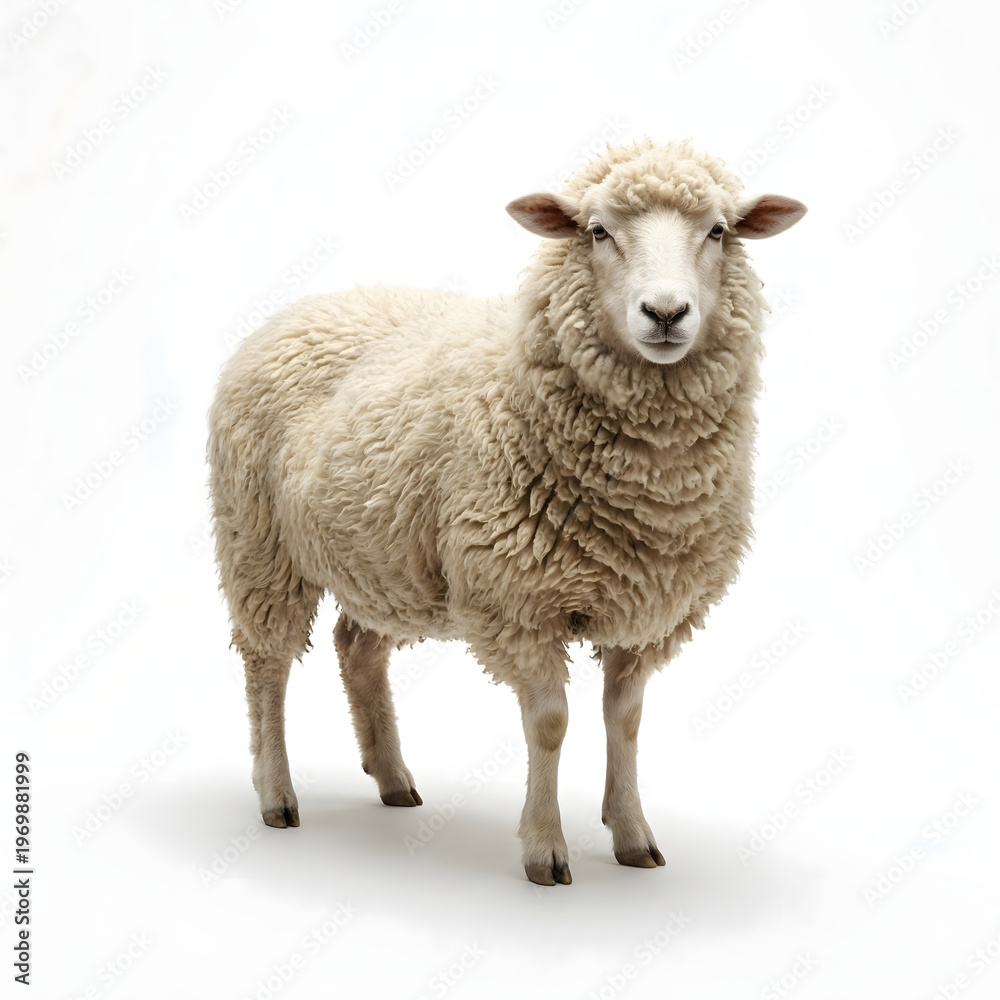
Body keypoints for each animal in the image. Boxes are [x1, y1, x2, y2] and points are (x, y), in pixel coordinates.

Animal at [207, 137, 806, 886]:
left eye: (719, 231)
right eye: (597, 231)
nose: (666, 313)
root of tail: (302, 308)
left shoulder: (644, 609)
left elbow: (626, 721)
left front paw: (632, 834)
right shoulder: (518, 600)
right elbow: (550, 723)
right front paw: (544, 849)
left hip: (382, 554)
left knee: (357, 649)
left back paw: (393, 779)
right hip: (259, 543)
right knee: (267, 665)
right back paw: (276, 794)